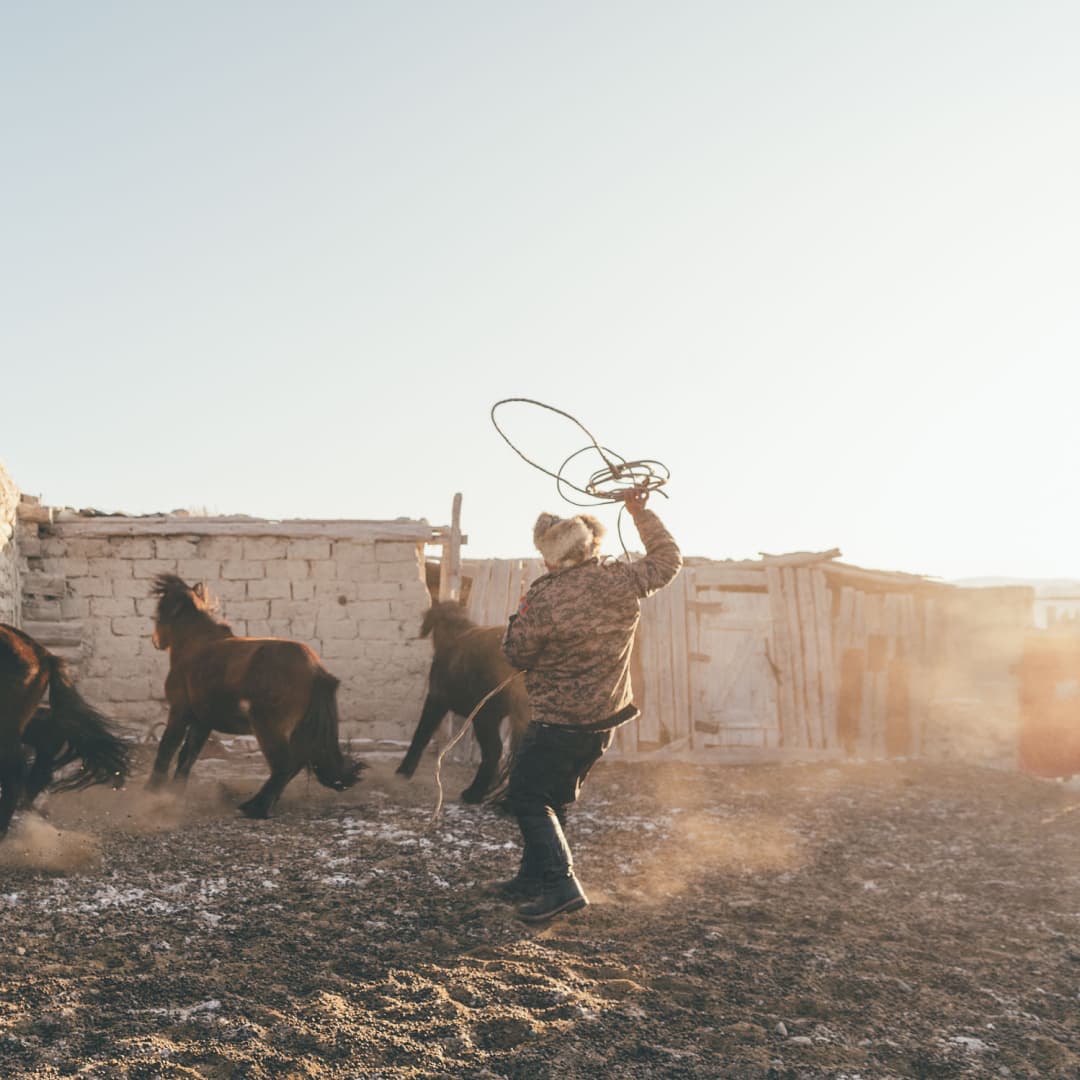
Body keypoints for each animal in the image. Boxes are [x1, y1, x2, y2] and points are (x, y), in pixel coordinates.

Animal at [150, 574, 365, 816]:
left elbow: (167, 749)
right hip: (297, 730)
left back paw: (256, 807)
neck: (195, 645)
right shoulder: (202, 721)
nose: (156, 641)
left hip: (268, 728)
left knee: (284, 765)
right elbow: (187, 756)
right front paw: (175, 793)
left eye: (160, 609)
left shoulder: (179, 711)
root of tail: (314, 669)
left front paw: (152, 791)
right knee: (295, 764)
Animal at [397, 604, 531, 807]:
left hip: (485, 717)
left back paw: (473, 793)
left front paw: (404, 770)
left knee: (494, 750)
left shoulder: (436, 700)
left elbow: (421, 733)